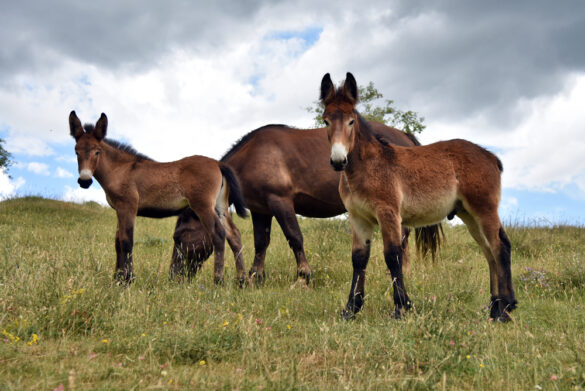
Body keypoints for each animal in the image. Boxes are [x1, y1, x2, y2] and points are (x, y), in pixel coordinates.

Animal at [69, 110, 246, 284]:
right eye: (76, 151)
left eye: (97, 151)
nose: (84, 181)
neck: (121, 169)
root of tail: (218, 164)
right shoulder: (119, 209)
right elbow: (118, 242)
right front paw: (117, 279)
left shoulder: (128, 206)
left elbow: (126, 241)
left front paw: (128, 280)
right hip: (220, 206)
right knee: (234, 235)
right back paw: (242, 281)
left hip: (203, 205)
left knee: (219, 234)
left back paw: (218, 281)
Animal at [320, 72, 516, 322]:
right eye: (326, 120)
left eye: (351, 121)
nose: (338, 161)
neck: (368, 167)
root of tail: (490, 156)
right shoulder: (358, 218)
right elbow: (359, 258)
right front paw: (351, 309)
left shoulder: (388, 213)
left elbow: (393, 256)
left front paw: (401, 308)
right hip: (469, 215)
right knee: (489, 251)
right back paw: (494, 309)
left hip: (484, 210)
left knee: (500, 247)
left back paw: (505, 309)